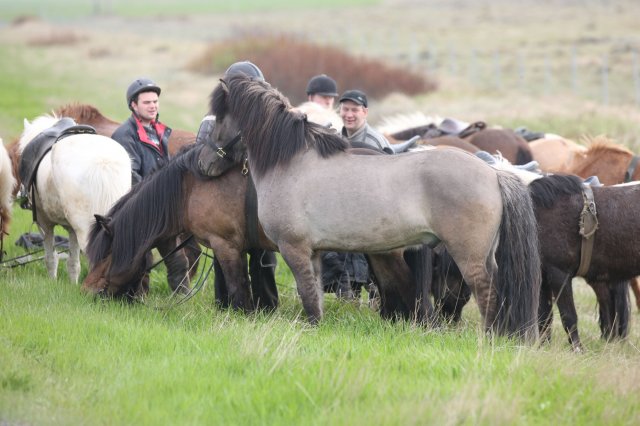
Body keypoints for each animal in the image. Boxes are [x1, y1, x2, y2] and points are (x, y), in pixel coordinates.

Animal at [17, 115, 131, 284]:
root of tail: (103, 163)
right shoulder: (72, 229)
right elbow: (73, 263)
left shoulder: (44, 223)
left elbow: (51, 258)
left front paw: (52, 281)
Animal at [210, 73, 540, 340]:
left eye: (218, 117)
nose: (206, 162)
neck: (292, 162)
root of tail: (494, 174)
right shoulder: (313, 253)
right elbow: (314, 295)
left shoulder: (295, 249)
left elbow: (307, 295)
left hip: (469, 256)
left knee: (487, 293)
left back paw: (490, 339)